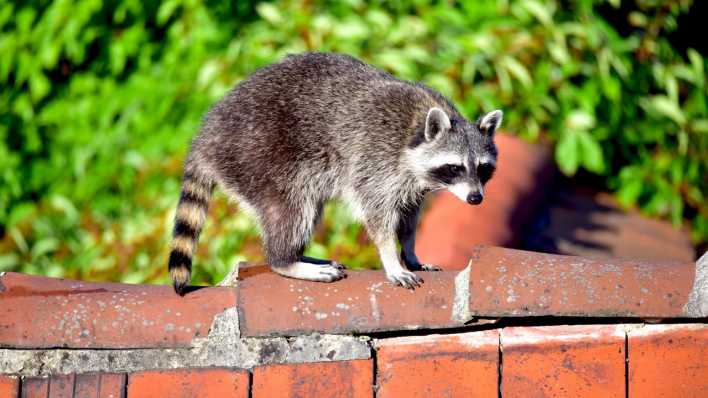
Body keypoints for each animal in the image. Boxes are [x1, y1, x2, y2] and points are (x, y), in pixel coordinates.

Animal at [167, 52, 500, 296]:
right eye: (455, 167)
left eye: (483, 168)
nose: (475, 198)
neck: (415, 129)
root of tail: (207, 135)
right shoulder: (374, 159)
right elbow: (377, 217)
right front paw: (391, 259)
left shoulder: (412, 184)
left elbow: (408, 219)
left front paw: (410, 252)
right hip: (261, 158)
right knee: (292, 209)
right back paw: (286, 260)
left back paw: (299, 255)